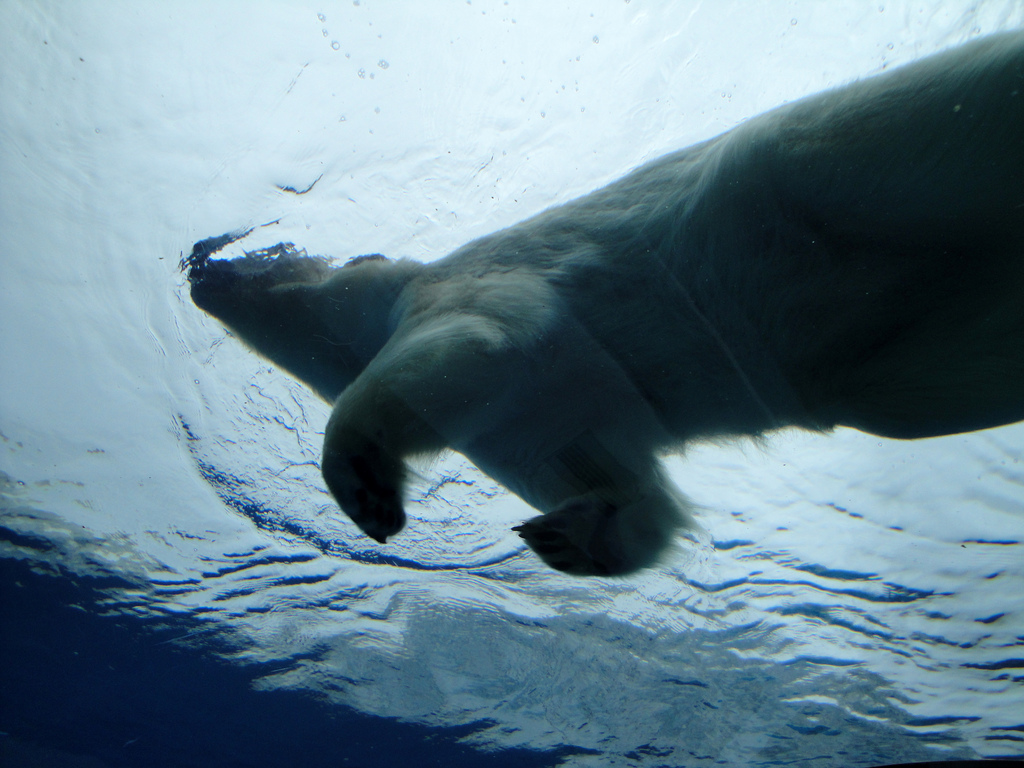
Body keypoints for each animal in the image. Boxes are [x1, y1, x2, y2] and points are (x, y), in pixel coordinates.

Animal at [184, 31, 1024, 577]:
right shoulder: (559, 412)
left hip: (828, 158)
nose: (201, 268)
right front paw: (570, 532)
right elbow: (606, 469)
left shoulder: (480, 290)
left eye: (280, 261)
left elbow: (468, 351)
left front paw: (364, 488)